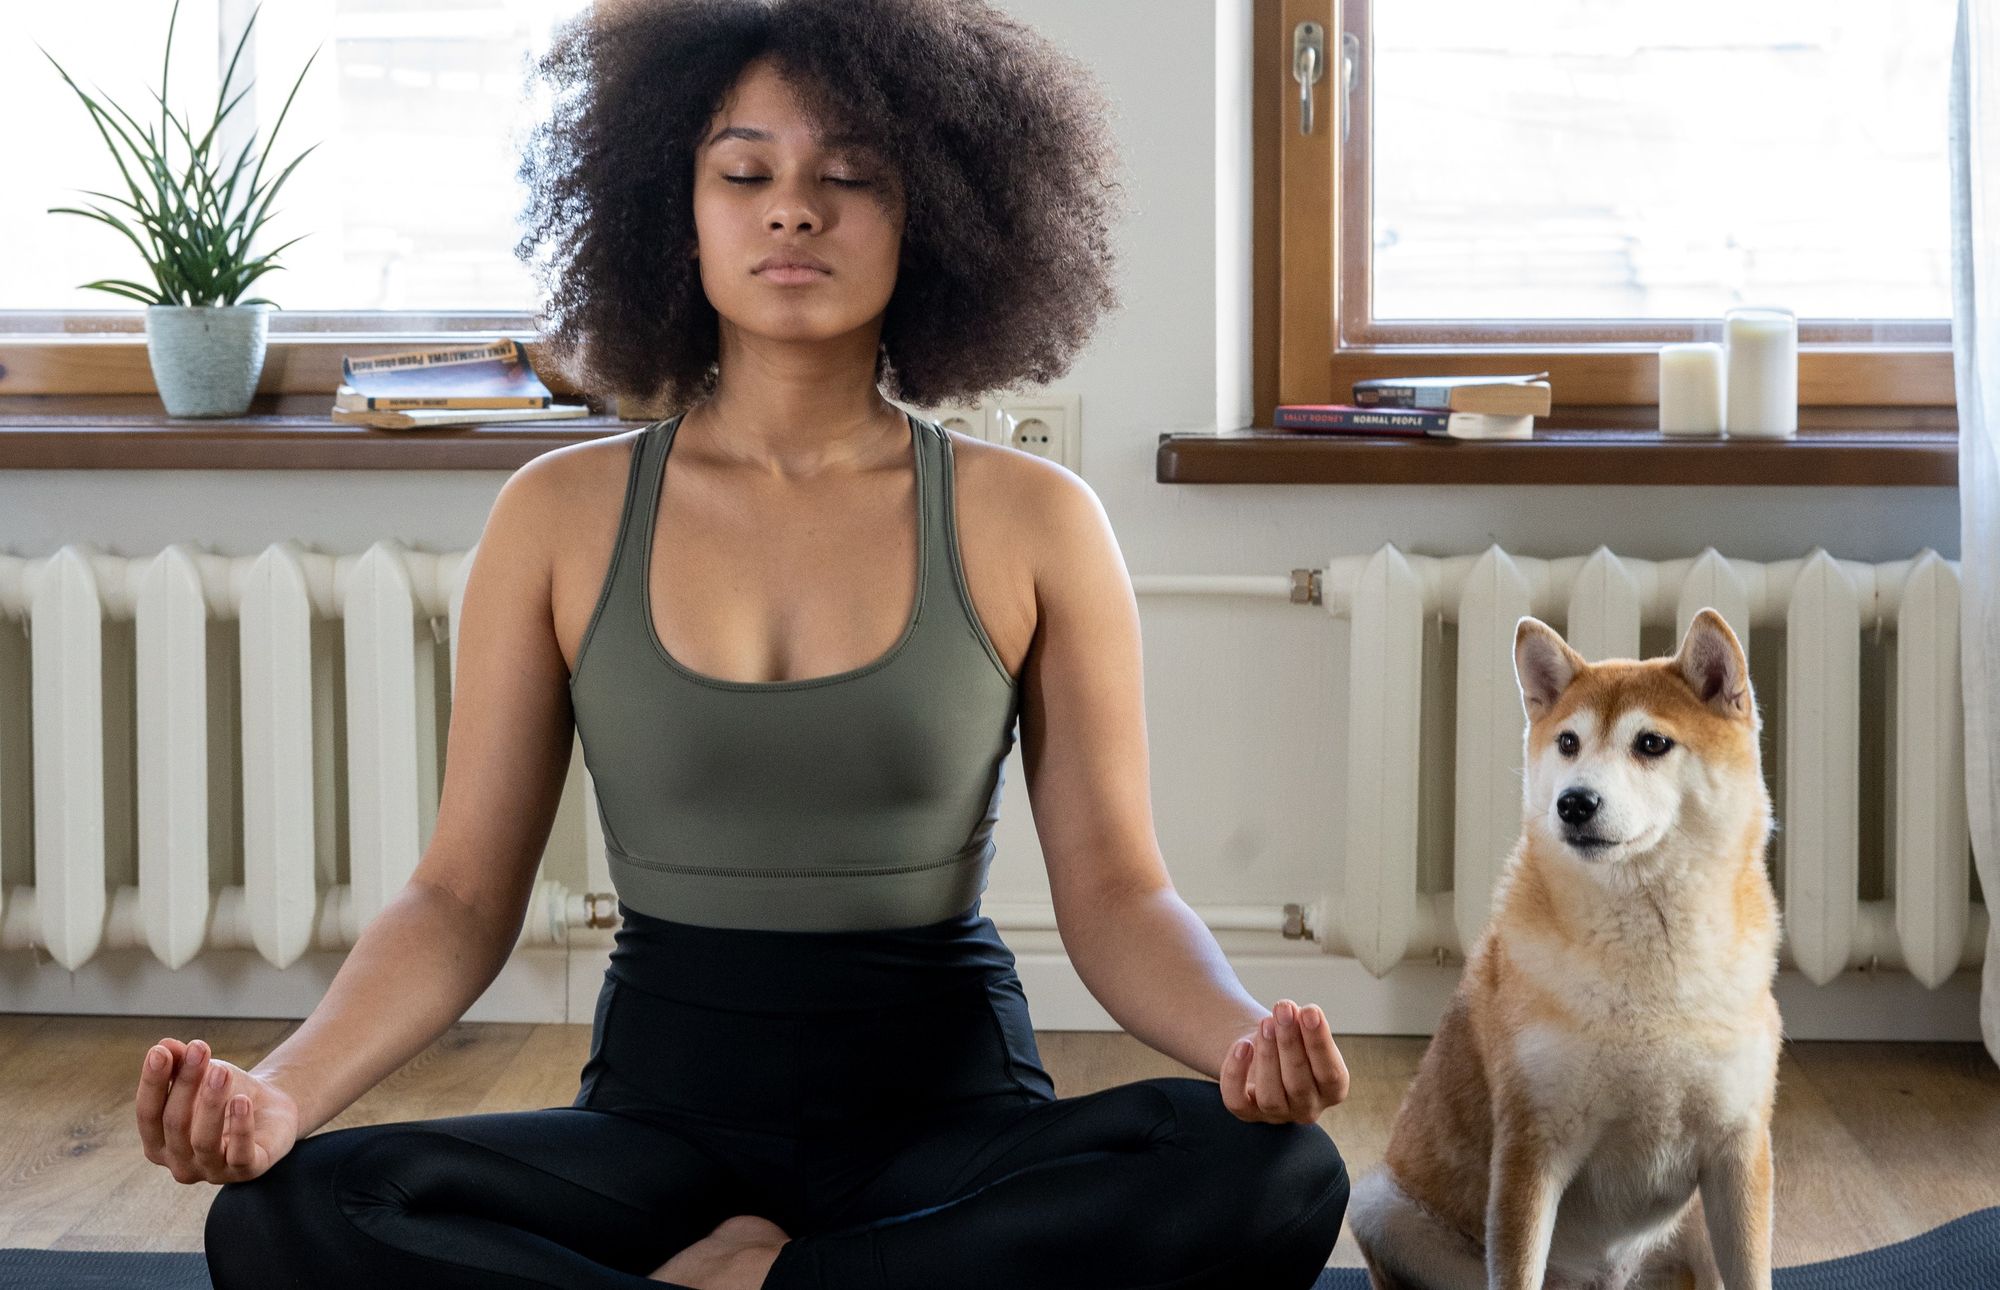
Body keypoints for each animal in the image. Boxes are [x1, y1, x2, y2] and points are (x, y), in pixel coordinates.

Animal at [1344, 608, 1784, 1288]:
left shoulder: (1739, 1151)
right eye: (1569, 743)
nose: (1574, 802)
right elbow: (1517, 1270)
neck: (1649, 959)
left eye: (1651, 743)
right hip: (1380, 1204)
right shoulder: (1532, 1148)